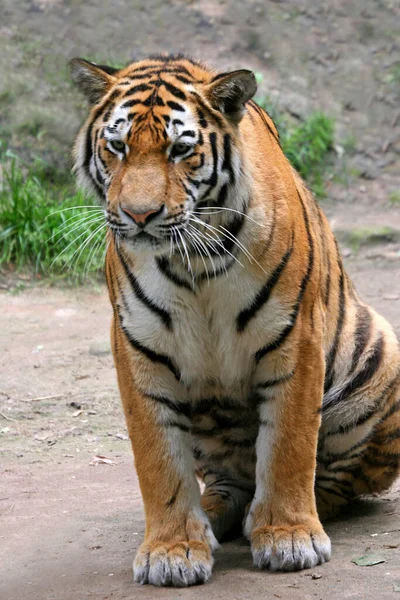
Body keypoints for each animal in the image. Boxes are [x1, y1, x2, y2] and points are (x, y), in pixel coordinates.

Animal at [70, 54, 400, 588]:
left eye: (181, 149)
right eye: (117, 146)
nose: (139, 215)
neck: (192, 262)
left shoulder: (295, 337)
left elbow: (288, 446)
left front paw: (289, 536)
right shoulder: (139, 347)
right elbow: (158, 458)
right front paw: (172, 548)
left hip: (379, 357)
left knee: (332, 481)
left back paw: (268, 518)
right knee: (228, 480)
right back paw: (212, 516)